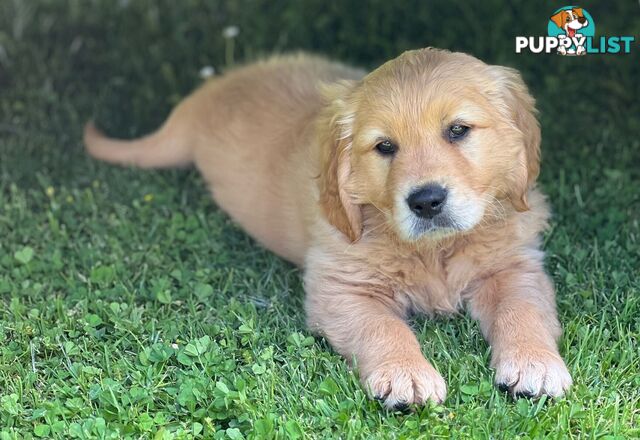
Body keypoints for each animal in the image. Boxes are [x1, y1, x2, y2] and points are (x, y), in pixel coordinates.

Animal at [84, 49, 568, 410]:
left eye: (458, 130)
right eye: (384, 147)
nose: (426, 201)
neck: (433, 249)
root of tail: (208, 93)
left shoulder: (514, 264)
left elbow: (522, 309)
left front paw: (536, 364)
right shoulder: (341, 288)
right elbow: (384, 328)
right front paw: (405, 374)